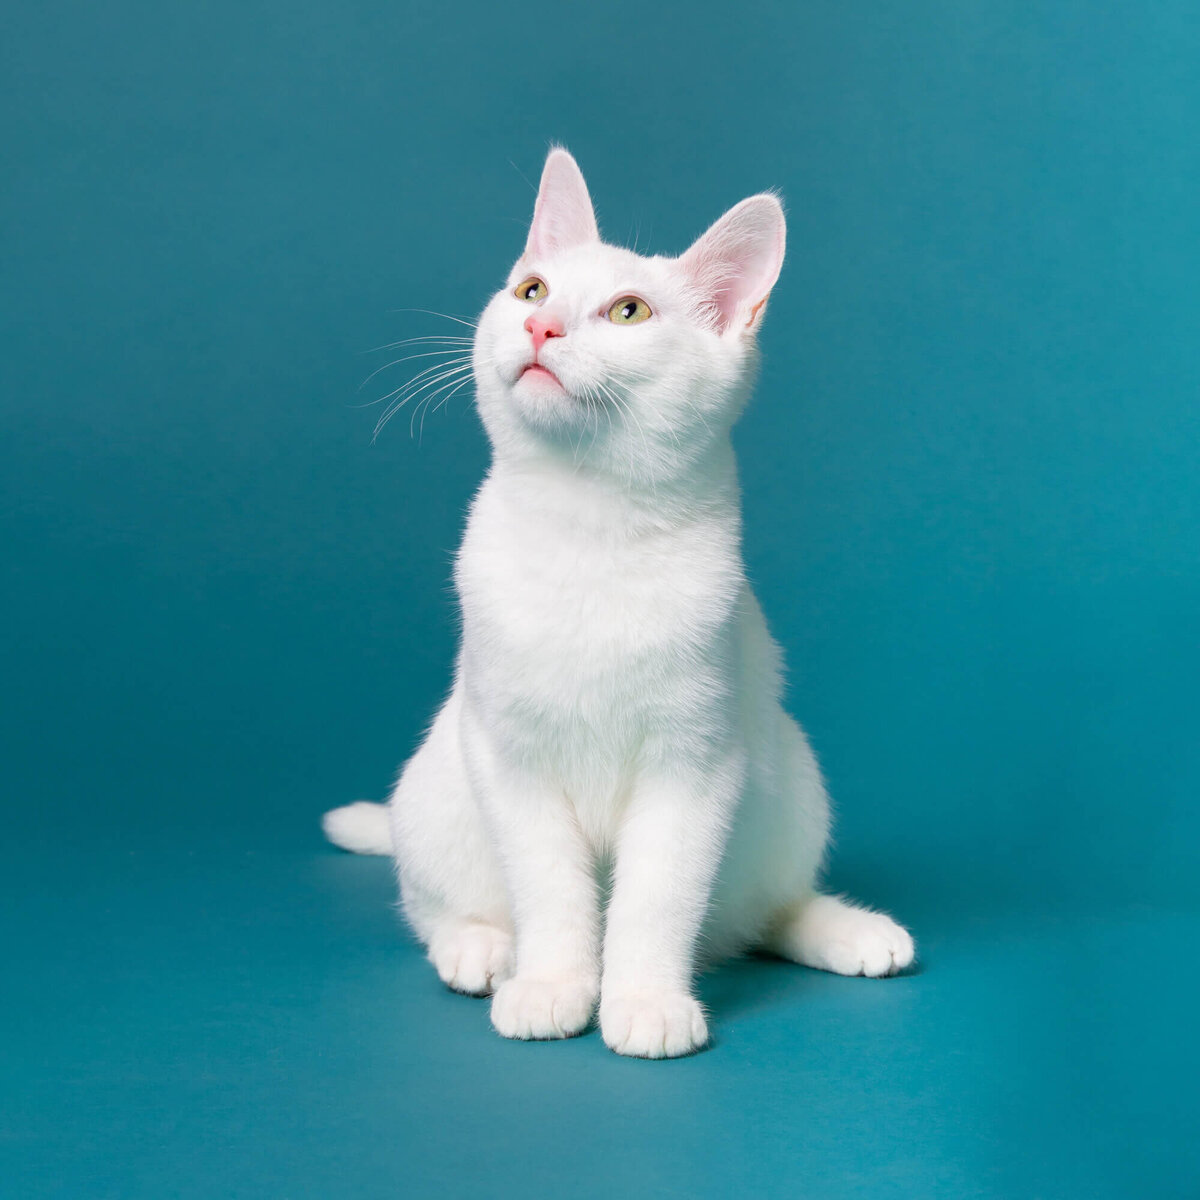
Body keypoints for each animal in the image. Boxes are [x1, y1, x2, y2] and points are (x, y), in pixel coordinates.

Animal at [324, 150, 912, 1060]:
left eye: (627, 311)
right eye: (531, 289)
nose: (541, 326)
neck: (587, 529)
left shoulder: (694, 768)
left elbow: (655, 900)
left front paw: (643, 1000)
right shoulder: (512, 761)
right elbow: (552, 892)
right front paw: (553, 986)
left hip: (790, 774)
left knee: (758, 913)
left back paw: (848, 930)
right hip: (435, 789)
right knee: (431, 906)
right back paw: (480, 949)